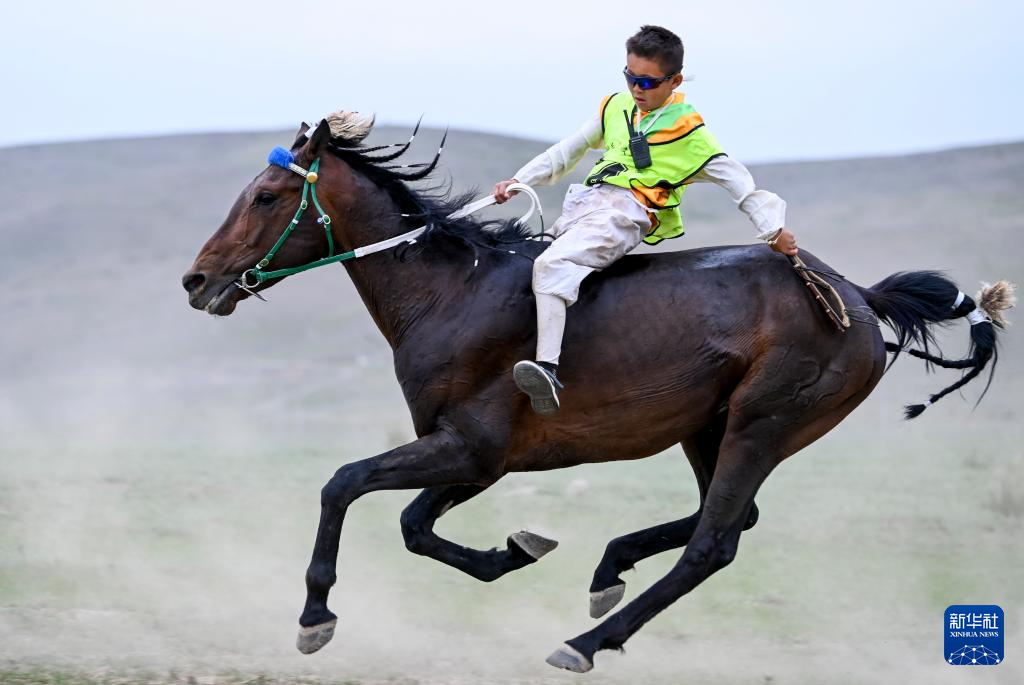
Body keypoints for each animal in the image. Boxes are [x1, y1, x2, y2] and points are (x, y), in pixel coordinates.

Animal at [182, 111, 1012, 673]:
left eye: (266, 195)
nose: (197, 279)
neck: (453, 290)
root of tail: (857, 297)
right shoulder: (479, 458)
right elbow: (417, 526)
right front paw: (515, 549)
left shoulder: (468, 447)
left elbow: (342, 483)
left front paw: (314, 613)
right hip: (709, 428)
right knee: (732, 519)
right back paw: (610, 566)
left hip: (763, 422)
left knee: (714, 542)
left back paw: (587, 639)